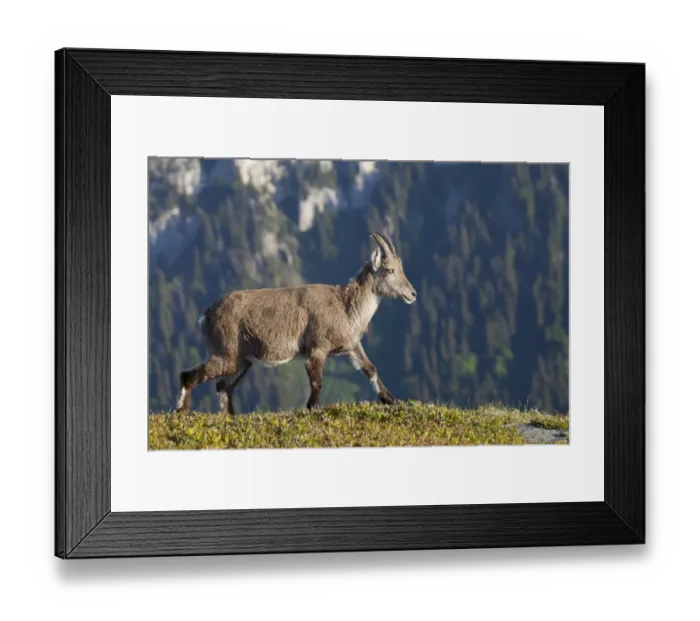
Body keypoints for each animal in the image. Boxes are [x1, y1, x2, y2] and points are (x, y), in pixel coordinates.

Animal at [174, 232, 417, 414]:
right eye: (390, 270)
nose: (412, 294)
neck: (345, 306)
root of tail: (206, 315)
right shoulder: (317, 348)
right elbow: (317, 381)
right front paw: (312, 408)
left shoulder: (351, 346)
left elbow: (370, 369)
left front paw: (390, 399)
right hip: (226, 354)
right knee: (189, 376)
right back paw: (181, 412)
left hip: (242, 361)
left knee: (223, 387)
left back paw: (230, 417)